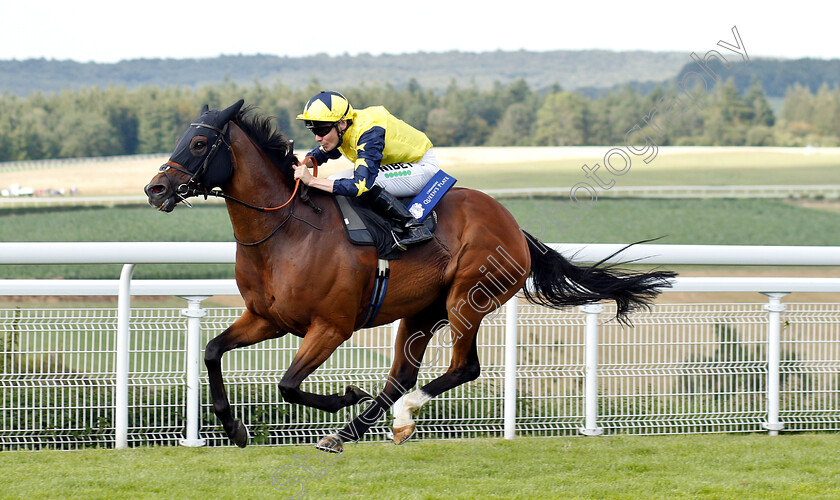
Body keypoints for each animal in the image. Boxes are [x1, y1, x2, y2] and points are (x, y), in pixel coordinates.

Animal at [141, 100, 672, 454]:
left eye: (199, 142)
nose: (155, 189)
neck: (287, 230)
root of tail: (514, 226)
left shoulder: (331, 326)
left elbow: (289, 384)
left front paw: (344, 395)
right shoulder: (267, 318)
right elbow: (212, 352)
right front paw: (233, 428)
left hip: (467, 299)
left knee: (461, 368)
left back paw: (395, 416)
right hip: (420, 310)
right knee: (401, 375)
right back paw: (353, 431)